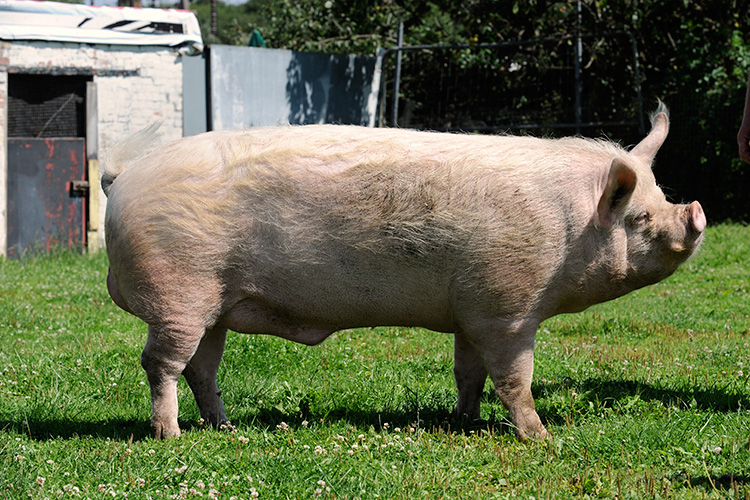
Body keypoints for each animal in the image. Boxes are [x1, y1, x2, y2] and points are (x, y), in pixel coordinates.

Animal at [102, 103, 705, 440]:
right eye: (640, 217)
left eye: (660, 199)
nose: (696, 212)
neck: (570, 228)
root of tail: (122, 176)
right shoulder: (508, 309)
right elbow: (516, 379)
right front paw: (542, 438)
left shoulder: (471, 311)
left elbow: (469, 373)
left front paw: (464, 422)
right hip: (179, 292)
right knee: (160, 364)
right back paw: (171, 436)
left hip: (214, 304)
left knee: (202, 368)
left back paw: (223, 427)